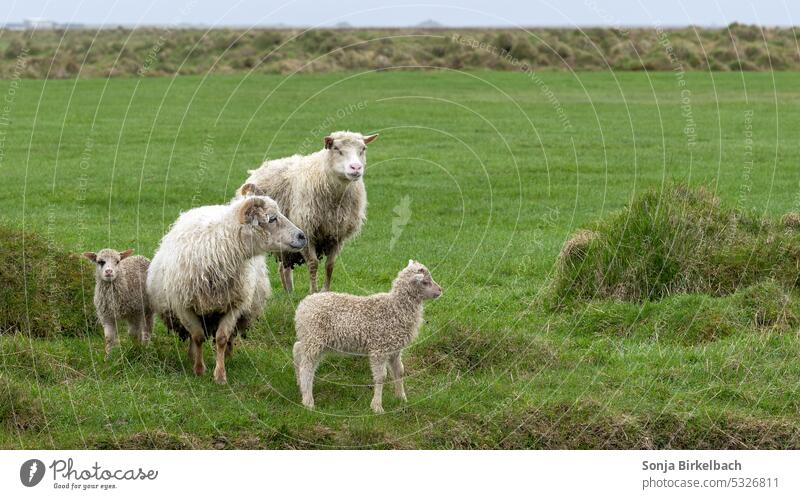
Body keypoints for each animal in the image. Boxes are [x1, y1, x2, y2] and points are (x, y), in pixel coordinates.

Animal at [145, 193, 308, 384]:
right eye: (272, 218)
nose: (303, 236)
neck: (219, 247)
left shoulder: (234, 305)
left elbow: (222, 338)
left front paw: (220, 375)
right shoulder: (183, 306)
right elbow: (197, 336)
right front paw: (199, 369)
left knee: (229, 337)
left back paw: (228, 356)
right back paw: (193, 356)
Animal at [242, 130, 380, 292]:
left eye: (363, 149)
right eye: (336, 149)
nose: (356, 168)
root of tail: (264, 165)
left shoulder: (337, 234)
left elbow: (330, 265)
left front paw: (325, 291)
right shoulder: (306, 229)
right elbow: (313, 264)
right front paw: (313, 291)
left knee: (284, 266)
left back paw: (289, 291)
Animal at [294, 262, 444, 414]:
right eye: (425, 282)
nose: (440, 290)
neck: (396, 308)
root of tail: (302, 306)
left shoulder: (394, 350)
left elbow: (400, 371)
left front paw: (402, 398)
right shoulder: (380, 349)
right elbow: (381, 376)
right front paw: (377, 406)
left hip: (311, 339)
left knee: (297, 349)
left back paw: (299, 383)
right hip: (314, 339)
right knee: (307, 367)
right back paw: (308, 401)